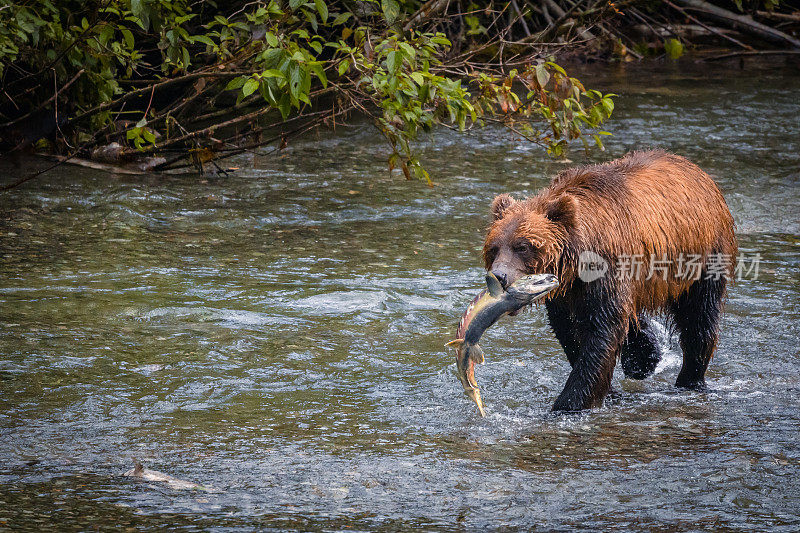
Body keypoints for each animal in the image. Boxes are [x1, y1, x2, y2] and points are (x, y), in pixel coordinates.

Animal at [482, 150, 736, 412]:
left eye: (522, 247)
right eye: (493, 248)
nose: (498, 276)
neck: (578, 260)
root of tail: (699, 172)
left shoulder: (606, 270)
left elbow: (601, 329)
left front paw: (568, 403)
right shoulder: (567, 291)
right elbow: (570, 330)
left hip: (703, 257)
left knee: (700, 317)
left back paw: (690, 379)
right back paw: (643, 358)